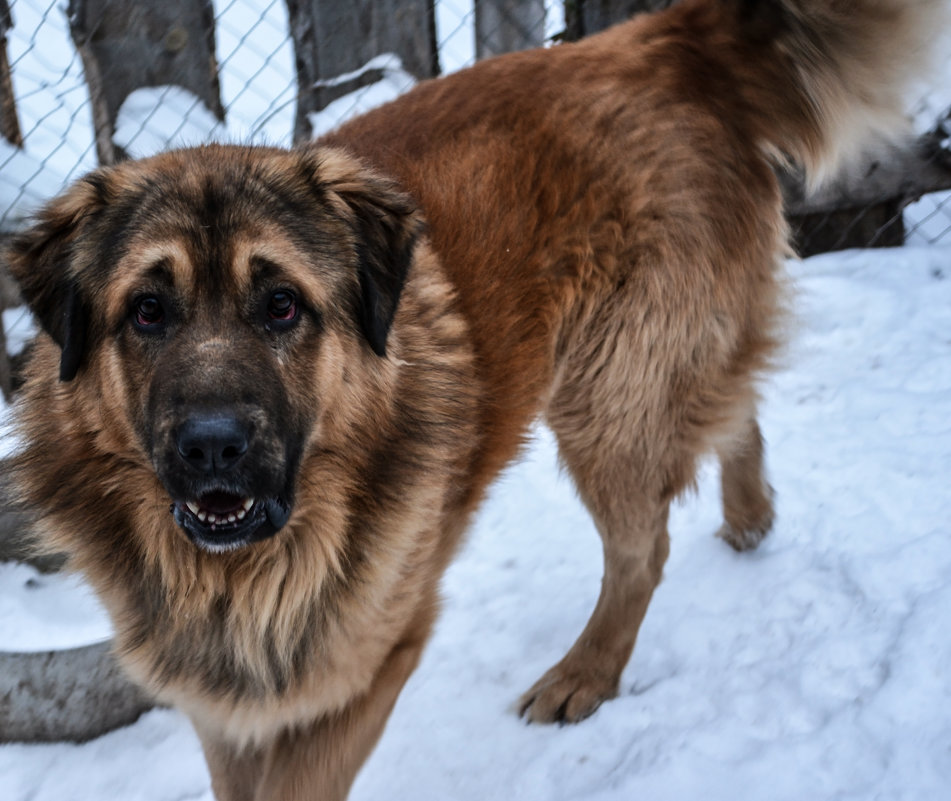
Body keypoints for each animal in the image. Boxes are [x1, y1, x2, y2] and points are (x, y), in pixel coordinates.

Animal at [1, 1, 936, 800]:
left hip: (605, 398)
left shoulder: (360, 669)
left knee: (644, 548)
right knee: (730, 408)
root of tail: (655, 41)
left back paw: (586, 672)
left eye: (282, 305)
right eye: (146, 311)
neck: (244, 569)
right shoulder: (222, 698)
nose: (211, 447)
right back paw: (749, 514)